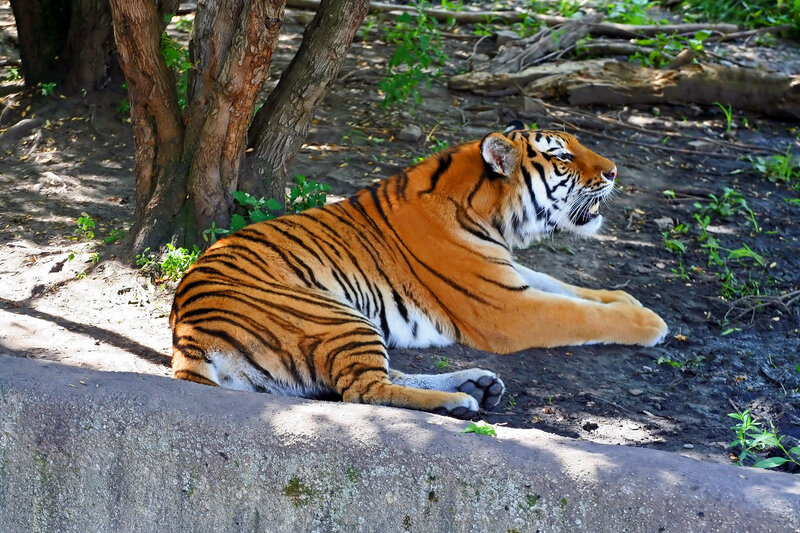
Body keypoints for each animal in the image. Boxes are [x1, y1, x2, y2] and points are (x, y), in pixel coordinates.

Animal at [170, 122, 668, 419]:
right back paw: (458, 401)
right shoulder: (507, 309)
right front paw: (650, 323)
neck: (492, 216)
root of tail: (187, 337)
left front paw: (628, 299)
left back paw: (477, 384)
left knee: (370, 379)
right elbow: (581, 314)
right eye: (563, 157)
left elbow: (570, 288)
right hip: (333, 315)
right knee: (363, 389)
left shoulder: (511, 276)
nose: (614, 171)